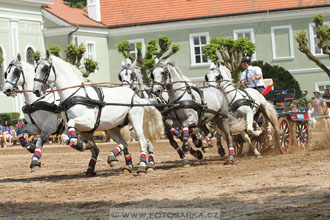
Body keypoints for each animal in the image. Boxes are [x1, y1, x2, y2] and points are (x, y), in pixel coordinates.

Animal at [32, 51, 164, 175]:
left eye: (45, 68)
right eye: (35, 69)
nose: (36, 90)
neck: (75, 95)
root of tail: (135, 96)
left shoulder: (88, 122)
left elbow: (72, 123)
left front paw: (78, 143)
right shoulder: (80, 129)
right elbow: (65, 136)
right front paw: (81, 145)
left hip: (135, 121)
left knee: (142, 141)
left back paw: (142, 166)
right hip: (112, 128)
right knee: (124, 143)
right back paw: (118, 161)